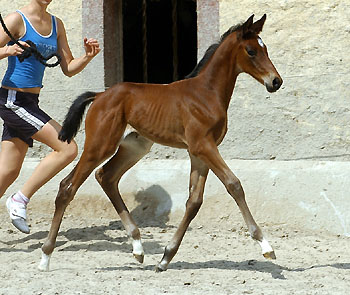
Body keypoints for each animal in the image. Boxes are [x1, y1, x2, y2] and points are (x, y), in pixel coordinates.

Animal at [39, 15, 282, 272]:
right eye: (251, 51)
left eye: (265, 48)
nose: (276, 81)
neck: (206, 93)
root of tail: (99, 95)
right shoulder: (203, 146)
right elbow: (234, 184)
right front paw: (266, 246)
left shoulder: (199, 152)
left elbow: (194, 201)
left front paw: (166, 257)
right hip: (100, 145)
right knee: (68, 187)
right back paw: (45, 257)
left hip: (134, 147)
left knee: (105, 176)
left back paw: (138, 248)